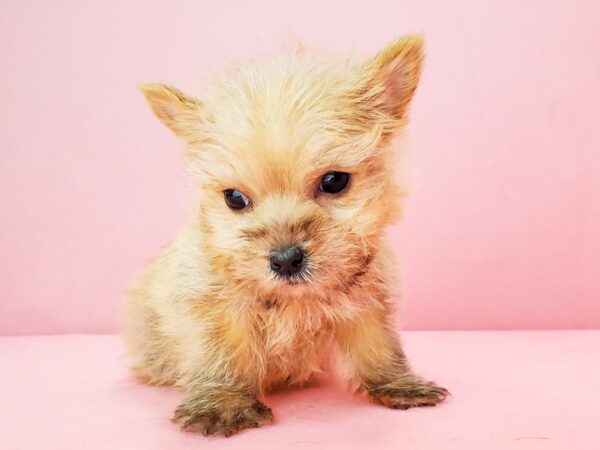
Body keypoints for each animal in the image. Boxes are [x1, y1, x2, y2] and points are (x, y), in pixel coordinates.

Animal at [124, 34, 448, 436]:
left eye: (334, 181)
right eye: (234, 198)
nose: (285, 260)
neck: (294, 301)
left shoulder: (367, 302)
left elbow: (379, 347)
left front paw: (398, 383)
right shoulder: (214, 309)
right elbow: (220, 355)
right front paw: (223, 403)